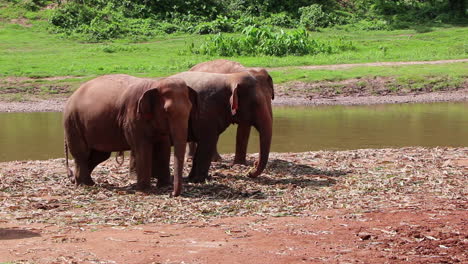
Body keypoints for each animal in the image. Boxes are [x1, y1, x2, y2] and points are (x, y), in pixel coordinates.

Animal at [63, 74, 197, 196]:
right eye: (167, 111)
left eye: (190, 108)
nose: (172, 194)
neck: (154, 83)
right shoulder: (132, 118)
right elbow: (142, 148)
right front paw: (145, 190)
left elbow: (164, 147)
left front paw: (164, 186)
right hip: (73, 122)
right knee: (81, 153)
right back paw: (84, 184)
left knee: (99, 155)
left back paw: (82, 181)